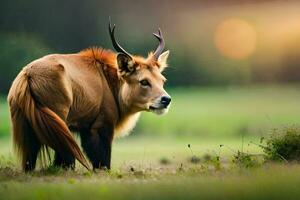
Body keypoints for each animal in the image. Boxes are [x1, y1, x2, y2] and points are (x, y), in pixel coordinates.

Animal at [7, 19, 171, 171]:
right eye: (144, 81)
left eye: (162, 80)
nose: (166, 100)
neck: (113, 85)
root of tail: (27, 75)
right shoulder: (101, 126)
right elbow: (102, 161)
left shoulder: (84, 128)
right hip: (58, 118)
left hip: (28, 127)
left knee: (31, 162)